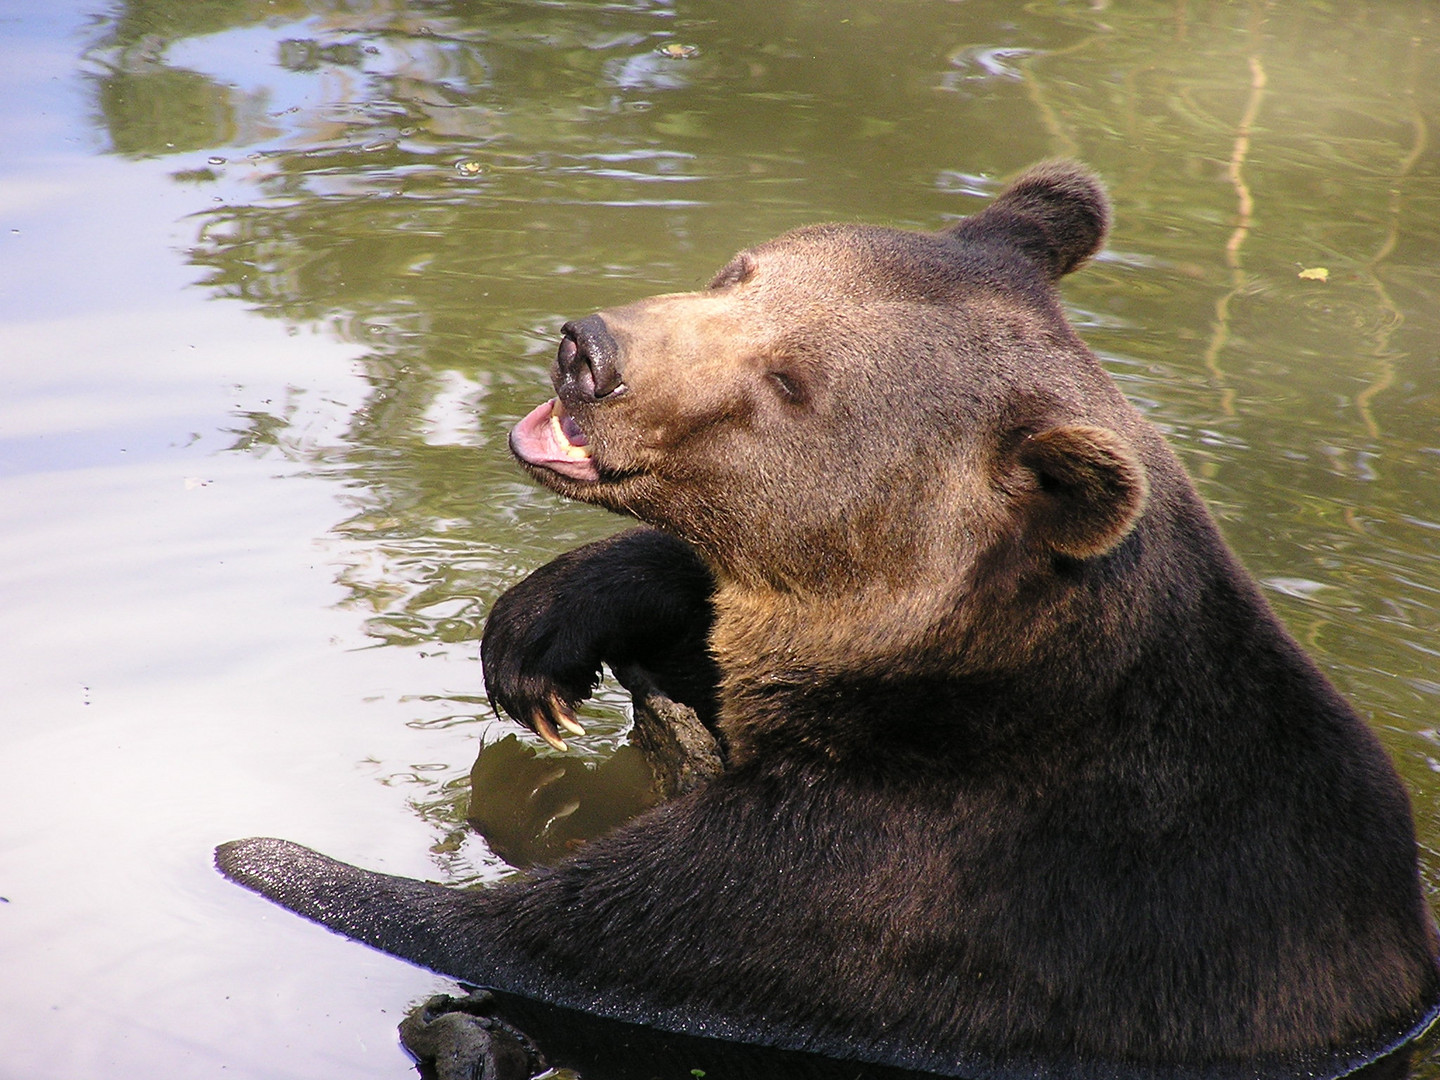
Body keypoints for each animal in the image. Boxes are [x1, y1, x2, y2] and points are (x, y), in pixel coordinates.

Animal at [216, 160, 1440, 1080]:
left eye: (790, 383)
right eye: (743, 269)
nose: (588, 351)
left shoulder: (922, 885)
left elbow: (561, 932)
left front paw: (275, 856)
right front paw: (543, 634)